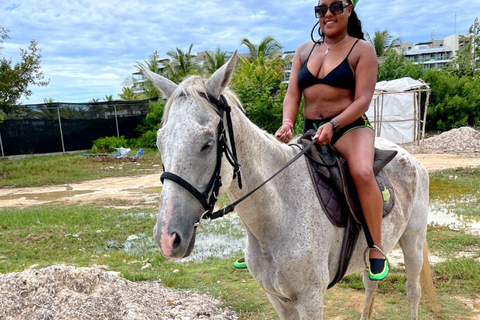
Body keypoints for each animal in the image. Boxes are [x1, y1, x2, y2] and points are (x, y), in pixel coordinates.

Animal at [141, 51, 434, 318]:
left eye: (207, 143)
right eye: (160, 142)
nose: (167, 237)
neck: (277, 214)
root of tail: (412, 159)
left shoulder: (311, 300)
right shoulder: (277, 299)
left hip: (413, 240)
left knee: (413, 291)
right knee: (371, 286)